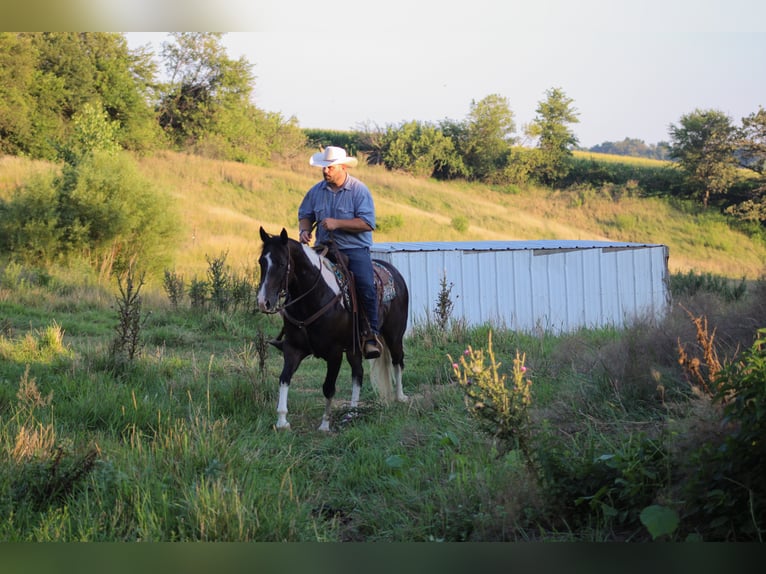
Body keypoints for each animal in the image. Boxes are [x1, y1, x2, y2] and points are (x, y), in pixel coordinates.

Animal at [256, 227, 412, 434]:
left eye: (282, 263)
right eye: (261, 262)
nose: (263, 302)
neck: (315, 297)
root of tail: (395, 273)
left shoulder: (334, 353)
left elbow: (328, 387)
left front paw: (324, 424)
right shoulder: (293, 348)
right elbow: (284, 378)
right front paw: (282, 421)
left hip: (394, 335)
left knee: (397, 360)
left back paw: (400, 396)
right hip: (355, 347)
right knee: (358, 374)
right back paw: (352, 413)